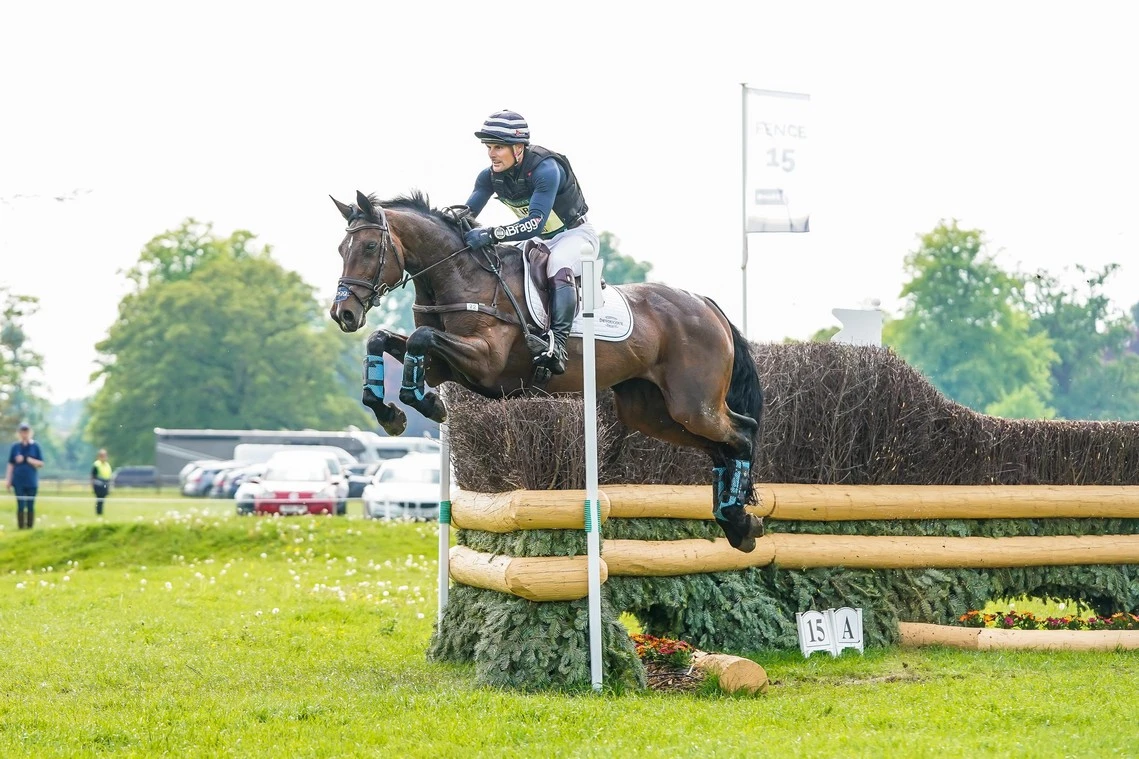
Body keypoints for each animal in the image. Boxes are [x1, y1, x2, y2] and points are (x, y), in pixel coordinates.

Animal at [328, 190, 765, 549]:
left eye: (370, 246)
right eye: (340, 248)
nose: (343, 314)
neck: (460, 276)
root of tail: (706, 305)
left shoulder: (484, 360)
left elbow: (419, 338)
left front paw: (426, 404)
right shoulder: (442, 367)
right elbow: (382, 340)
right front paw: (391, 412)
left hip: (694, 405)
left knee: (741, 433)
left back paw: (738, 519)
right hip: (650, 411)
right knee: (720, 447)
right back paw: (736, 520)